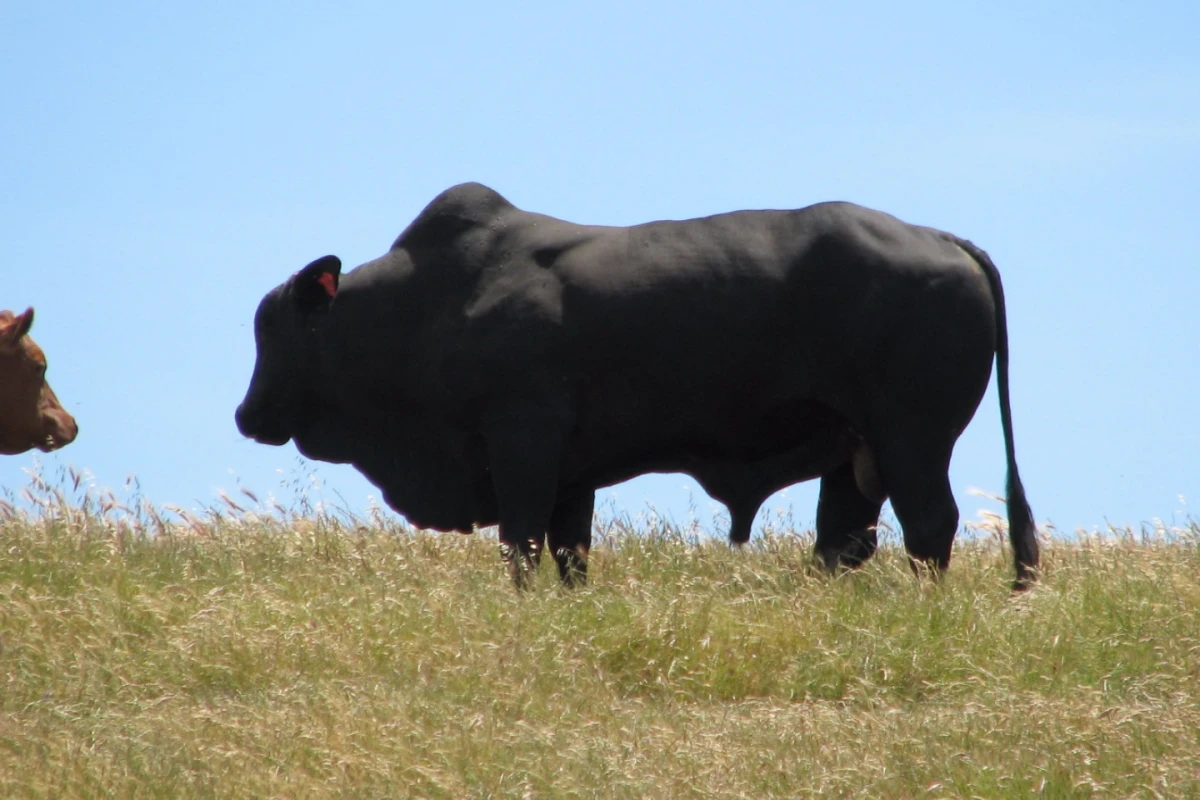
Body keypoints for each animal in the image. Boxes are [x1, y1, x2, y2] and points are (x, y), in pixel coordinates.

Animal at [235, 183, 1038, 590]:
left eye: (273, 329)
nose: (247, 414)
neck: (429, 302)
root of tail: (938, 238)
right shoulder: (571, 471)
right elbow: (569, 554)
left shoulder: (523, 441)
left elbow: (523, 545)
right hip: (855, 452)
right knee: (843, 541)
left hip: (912, 438)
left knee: (930, 529)